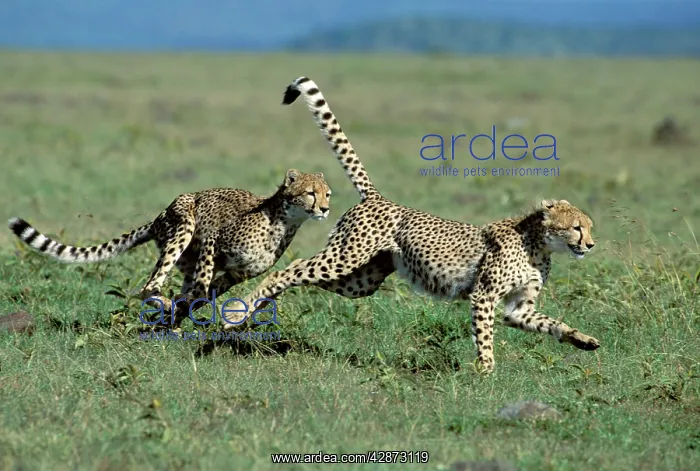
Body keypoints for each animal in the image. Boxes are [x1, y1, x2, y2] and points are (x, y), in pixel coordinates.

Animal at [8, 168, 331, 324]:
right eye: (310, 193)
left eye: (327, 193)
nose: (326, 209)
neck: (284, 221)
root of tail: (159, 217)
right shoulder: (213, 241)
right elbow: (202, 287)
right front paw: (179, 307)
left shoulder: (238, 273)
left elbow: (208, 292)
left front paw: (184, 310)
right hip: (184, 225)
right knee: (149, 287)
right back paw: (164, 303)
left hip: (186, 256)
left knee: (175, 286)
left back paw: (172, 310)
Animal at [223, 76, 600, 374]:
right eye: (577, 227)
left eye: (589, 227)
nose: (591, 244)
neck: (538, 244)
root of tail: (378, 198)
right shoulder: (483, 296)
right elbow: (485, 337)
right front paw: (486, 372)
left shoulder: (519, 307)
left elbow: (550, 323)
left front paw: (581, 339)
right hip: (345, 258)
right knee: (292, 267)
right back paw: (239, 309)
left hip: (361, 280)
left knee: (304, 275)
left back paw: (252, 308)